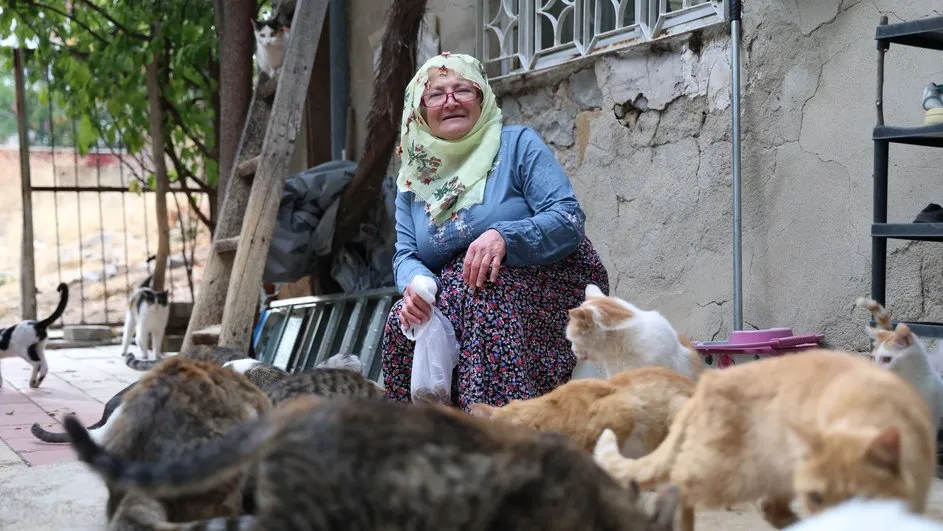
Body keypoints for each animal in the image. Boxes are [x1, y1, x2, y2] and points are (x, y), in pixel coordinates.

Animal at [592, 350, 932, 531]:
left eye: (857, 498)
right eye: (816, 497)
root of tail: (705, 384)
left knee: (771, 509)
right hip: (727, 474)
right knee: (678, 481)